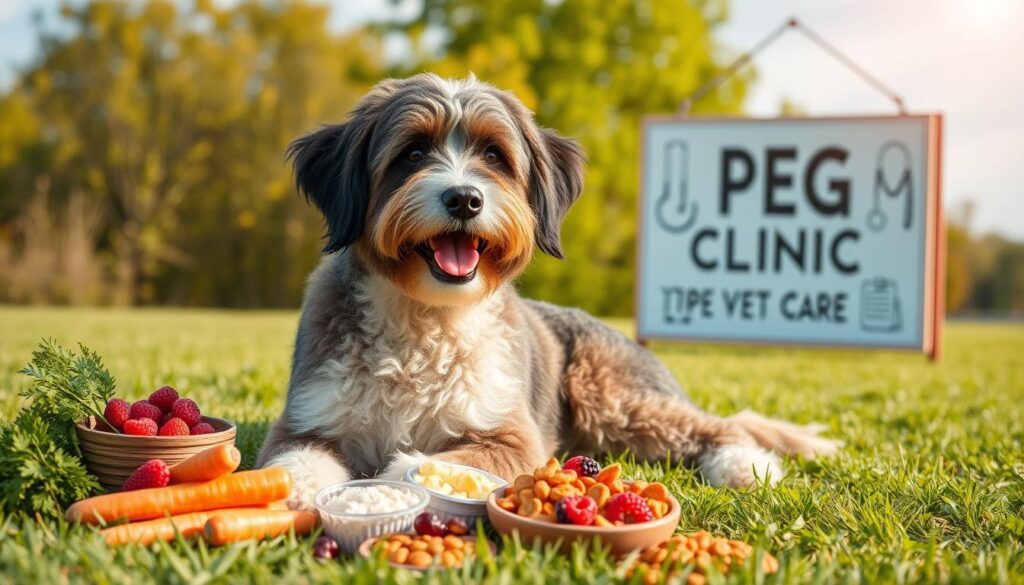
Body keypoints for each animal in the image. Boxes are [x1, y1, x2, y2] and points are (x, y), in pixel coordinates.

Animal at [258, 74, 839, 512]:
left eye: (494, 154)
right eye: (412, 151)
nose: (464, 198)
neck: (428, 317)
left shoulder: (514, 437)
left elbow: (428, 463)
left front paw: (387, 483)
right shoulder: (306, 420)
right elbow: (293, 461)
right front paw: (298, 492)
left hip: (615, 397)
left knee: (714, 426)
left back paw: (745, 463)